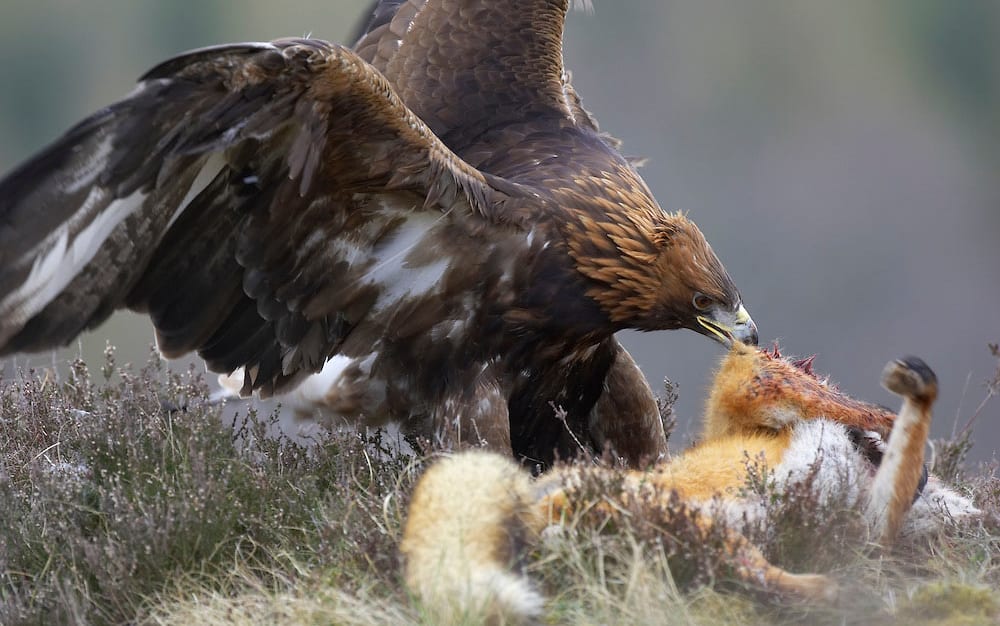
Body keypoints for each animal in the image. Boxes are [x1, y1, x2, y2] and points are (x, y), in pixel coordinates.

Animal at [399, 343, 980, 623]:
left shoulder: (866, 524)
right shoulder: (744, 389)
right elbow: (843, 404)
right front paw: (894, 407)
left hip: (673, 529)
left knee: (751, 573)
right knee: (757, 574)